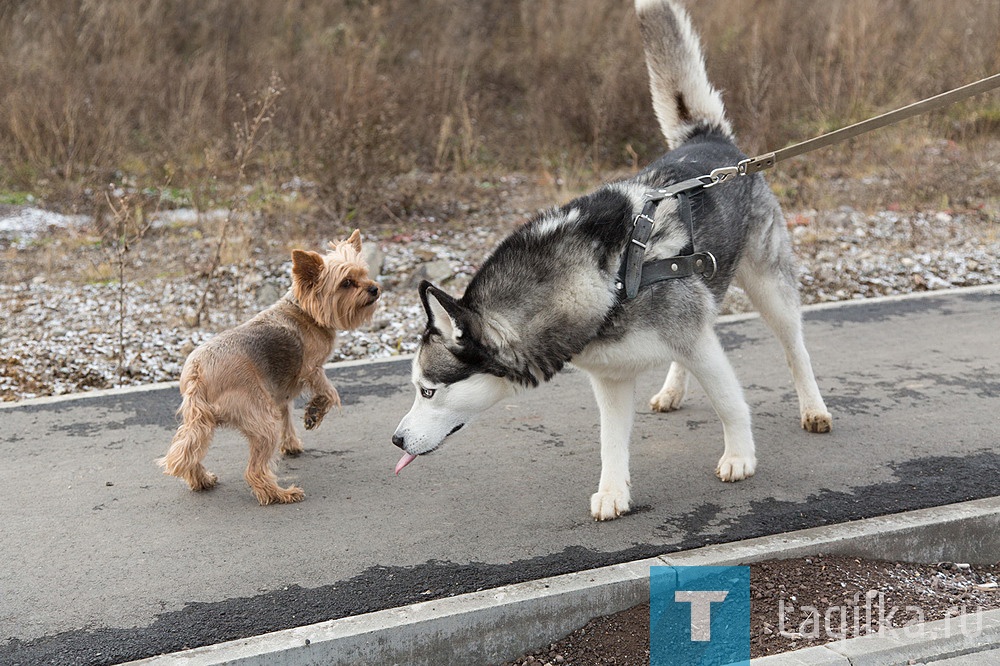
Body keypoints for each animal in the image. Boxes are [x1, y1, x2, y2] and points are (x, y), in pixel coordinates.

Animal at [390, 0, 828, 520]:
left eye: (428, 390)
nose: (396, 440)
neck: (610, 278)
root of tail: (712, 141)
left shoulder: (694, 342)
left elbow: (729, 403)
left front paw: (740, 456)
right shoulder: (613, 377)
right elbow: (611, 442)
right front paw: (615, 491)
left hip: (768, 287)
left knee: (796, 348)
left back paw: (813, 408)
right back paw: (673, 390)